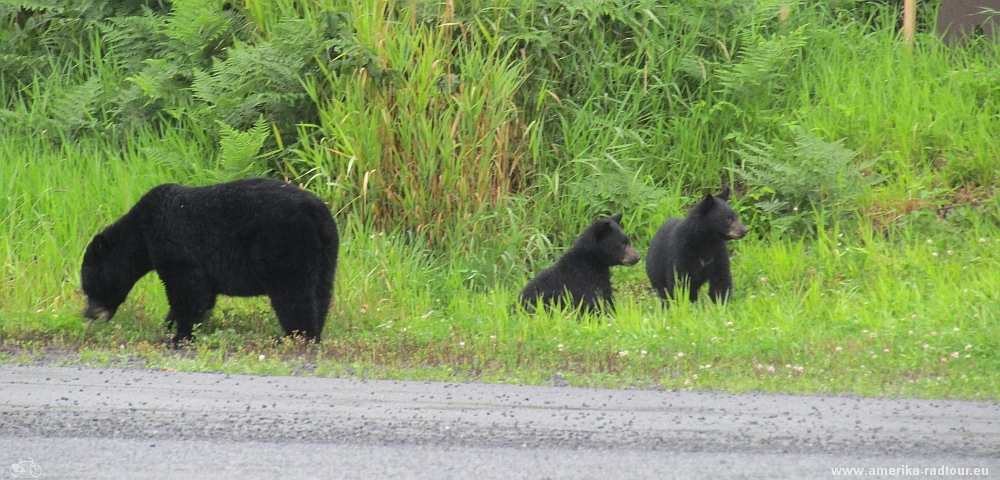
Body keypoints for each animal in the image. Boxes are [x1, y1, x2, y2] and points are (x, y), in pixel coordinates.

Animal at [80, 178, 338, 344]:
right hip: (325, 252)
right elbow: (203, 295)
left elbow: (188, 289)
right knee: (321, 292)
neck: (141, 233)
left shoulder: (172, 242)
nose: (87, 314)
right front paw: (171, 325)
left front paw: (178, 335)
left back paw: (296, 336)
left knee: (293, 293)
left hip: (285, 246)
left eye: (88, 286)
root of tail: (316, 212)